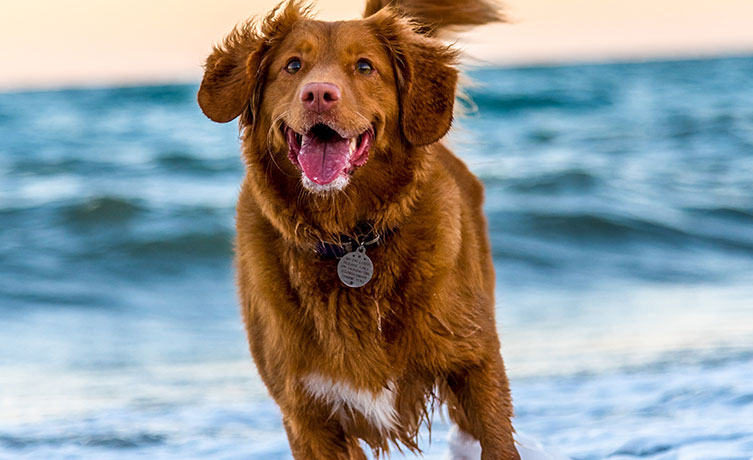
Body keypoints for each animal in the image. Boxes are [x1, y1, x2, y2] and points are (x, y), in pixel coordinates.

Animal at [197, 0, 520, 460]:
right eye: (293, 65)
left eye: (365, 67)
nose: (318, 93)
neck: (348, 236)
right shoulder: (307, 414)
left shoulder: (475, 365)